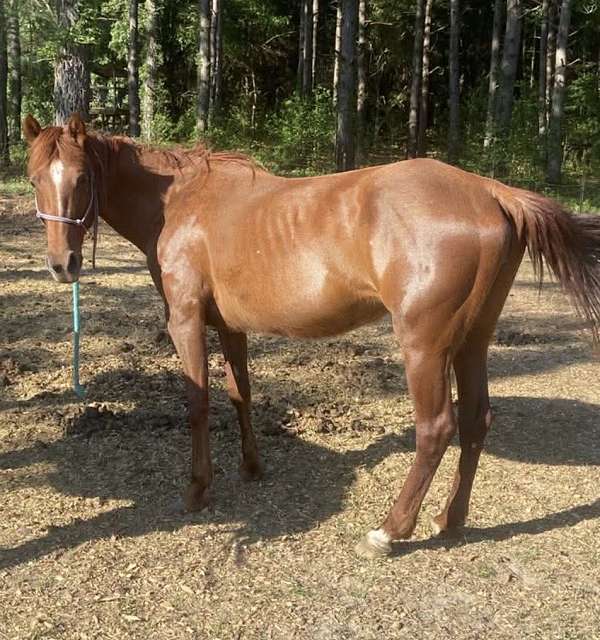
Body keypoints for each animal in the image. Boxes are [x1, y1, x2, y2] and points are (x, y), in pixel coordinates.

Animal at [23, 113, 600, 558]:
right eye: (33, 179)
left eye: (81, 176)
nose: (61, 264)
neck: (182, 204)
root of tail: (489, 192)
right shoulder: (228, 325)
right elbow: (240, 393)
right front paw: (252, 467)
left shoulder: (184, 319)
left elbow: (198, 404)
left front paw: (197, 488)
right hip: (473, 340)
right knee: (477, 420)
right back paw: (449, 521)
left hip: (425, 346)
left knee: (437, 428)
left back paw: (389, 532)